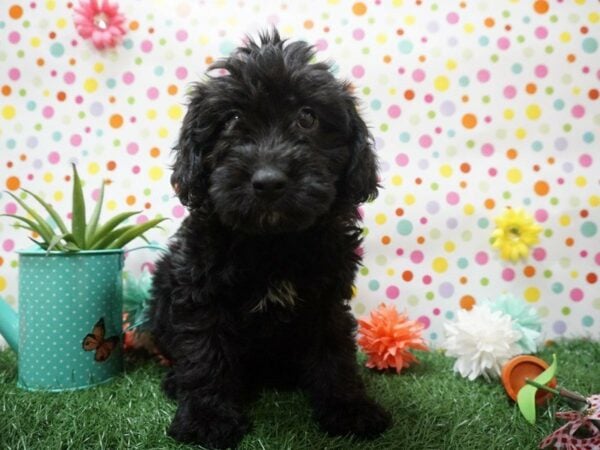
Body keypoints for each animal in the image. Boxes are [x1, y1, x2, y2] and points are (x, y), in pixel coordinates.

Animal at [149, 29, 392, 448]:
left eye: (308, 117)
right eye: (231, 120)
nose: (268, 181)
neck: (273, 241)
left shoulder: (328, 297)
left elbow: (335, 351)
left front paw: (348, 408)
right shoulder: (200, 292)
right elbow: (204, 350)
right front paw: (206, 418)